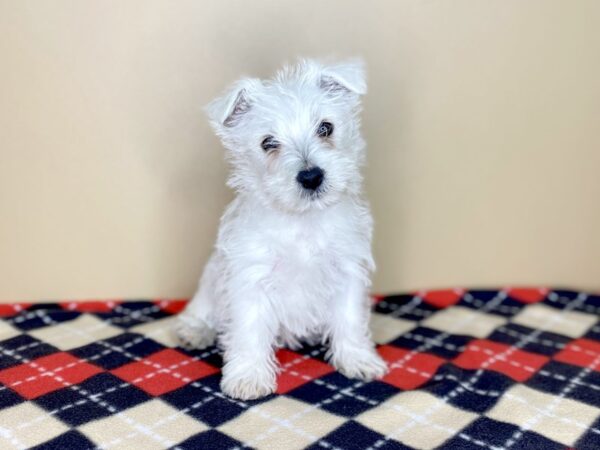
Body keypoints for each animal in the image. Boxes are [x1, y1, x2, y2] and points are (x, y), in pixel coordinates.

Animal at [176, 58, 386, 400]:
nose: (311, 177)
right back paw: (194, 331)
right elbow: (248, 328)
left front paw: (358, 360)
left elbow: (350, 319)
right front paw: (248, 377)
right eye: (268, 143)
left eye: (325, 128)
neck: (303, 221)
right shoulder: (251, 277)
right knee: (201, 310)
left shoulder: (347, 271)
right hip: (209, 281)